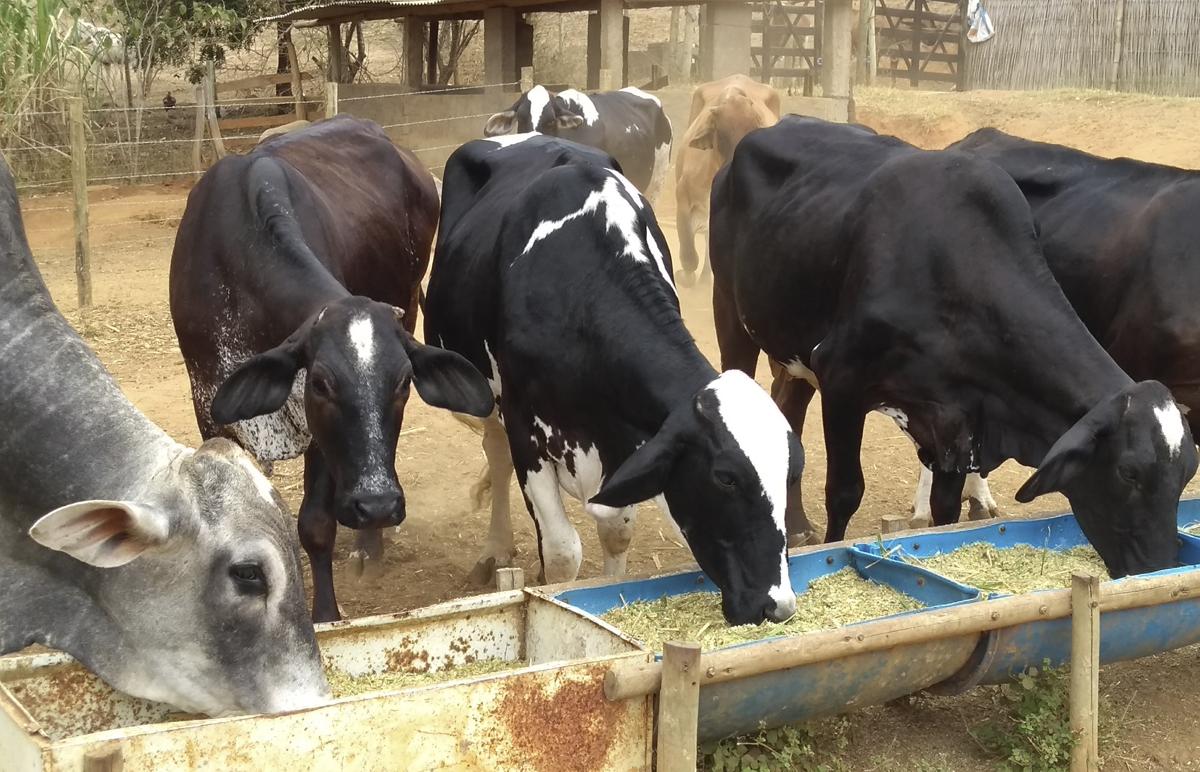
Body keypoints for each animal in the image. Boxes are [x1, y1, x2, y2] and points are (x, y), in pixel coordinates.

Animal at [169, 116, 492, 624]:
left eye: (404, 383)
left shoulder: (316, 436)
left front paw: (325, 614)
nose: (378, 503)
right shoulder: (210, 406)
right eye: (321, 384)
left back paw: (367, 546)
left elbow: (316, 525)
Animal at [705, 116, 1195, 581]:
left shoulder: (955, 420)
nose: (1160, 566)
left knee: (787, 410)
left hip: (793, 351)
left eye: (1186, 474)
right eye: (1129, 472)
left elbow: (948, 509)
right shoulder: (842, 380)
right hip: (730, 312)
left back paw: (797, 525)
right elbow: (845, 493)